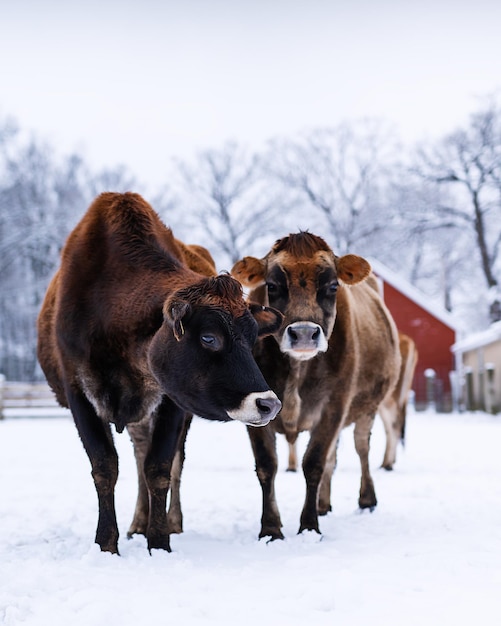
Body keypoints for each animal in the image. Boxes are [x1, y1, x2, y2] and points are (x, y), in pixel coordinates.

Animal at [37, 191, 282, 552]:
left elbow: (160, 467)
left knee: (165, 463)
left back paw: (168, 522)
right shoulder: (77, 390)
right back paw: (138, 523)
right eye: (209, 338)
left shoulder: (171, 400)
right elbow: (105, 466)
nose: (269, 404)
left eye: (252, 339)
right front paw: (106, 543)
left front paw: (160, 541)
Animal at [230, 232, 398, 540]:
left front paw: (309, 526)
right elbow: (267, 466)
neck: (297, 373)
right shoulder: (252, 405)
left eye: (332, 286)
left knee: (361, 448)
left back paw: (366, 499)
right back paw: (323, 503)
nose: (304, 334)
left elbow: (314, 463)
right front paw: (271, 528)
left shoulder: (334, 406)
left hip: (368, 407)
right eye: (272, 285)